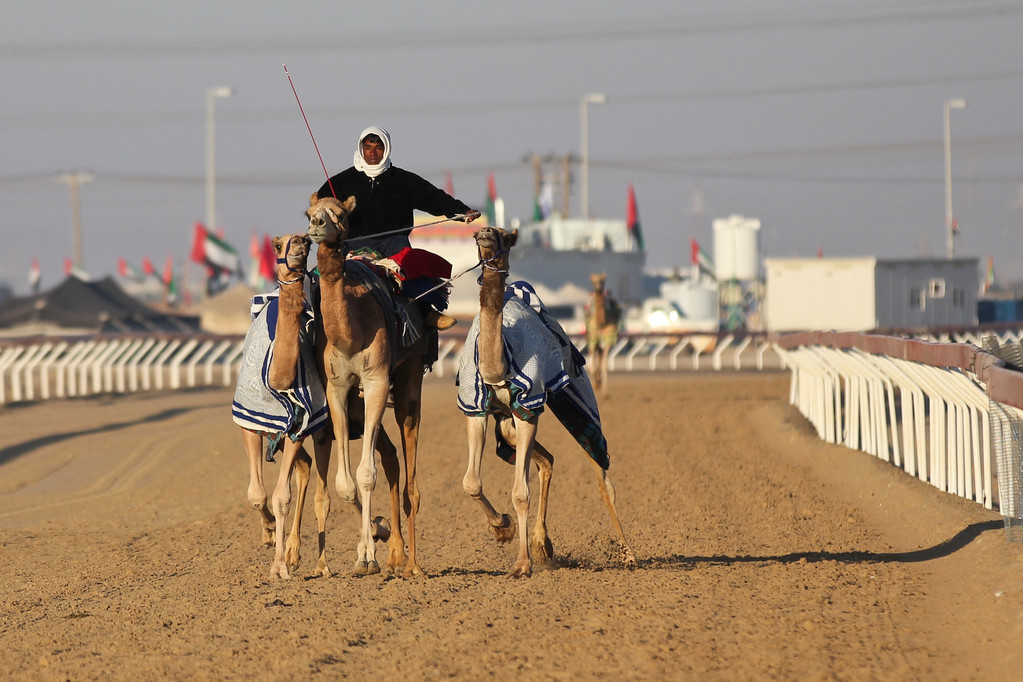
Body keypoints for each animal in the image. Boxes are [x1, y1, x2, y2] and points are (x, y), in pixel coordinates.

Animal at [304, 194, 429, 580]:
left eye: (340, 214)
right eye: (309, 211)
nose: (316, 225)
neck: (350, 333)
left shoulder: (375, 382)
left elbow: (366, 474)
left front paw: (367, 558)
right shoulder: (337, 387)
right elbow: (346, 483)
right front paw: (371, 541)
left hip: (410, 375)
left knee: (408, 455)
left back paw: (413, 564)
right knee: (390, 458)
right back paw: (396, 554)